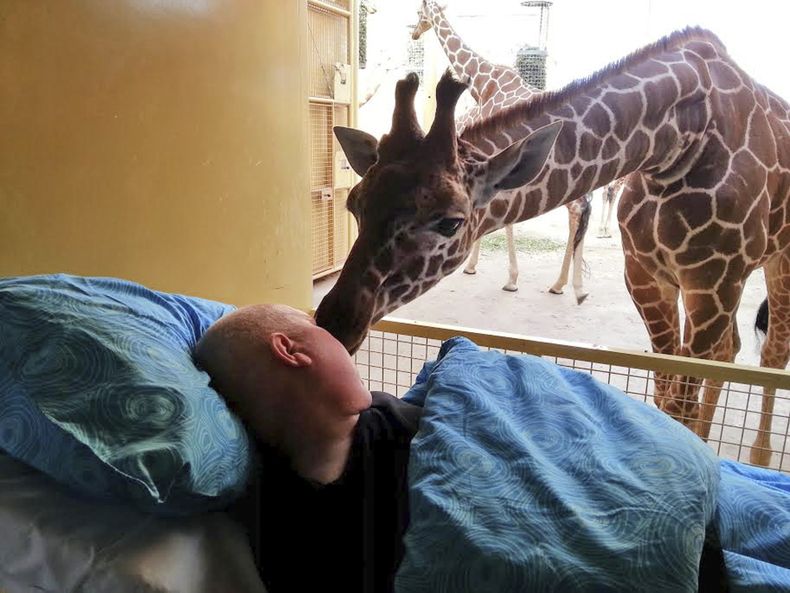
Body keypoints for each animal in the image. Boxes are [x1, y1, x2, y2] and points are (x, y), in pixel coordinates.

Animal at [411, 0, 592, 301]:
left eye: (419, 13)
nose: (414, 33)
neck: (484, 83)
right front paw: (479, 267)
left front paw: (509, 278)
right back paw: (565, 283)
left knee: (578, 209)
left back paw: (566, 284)